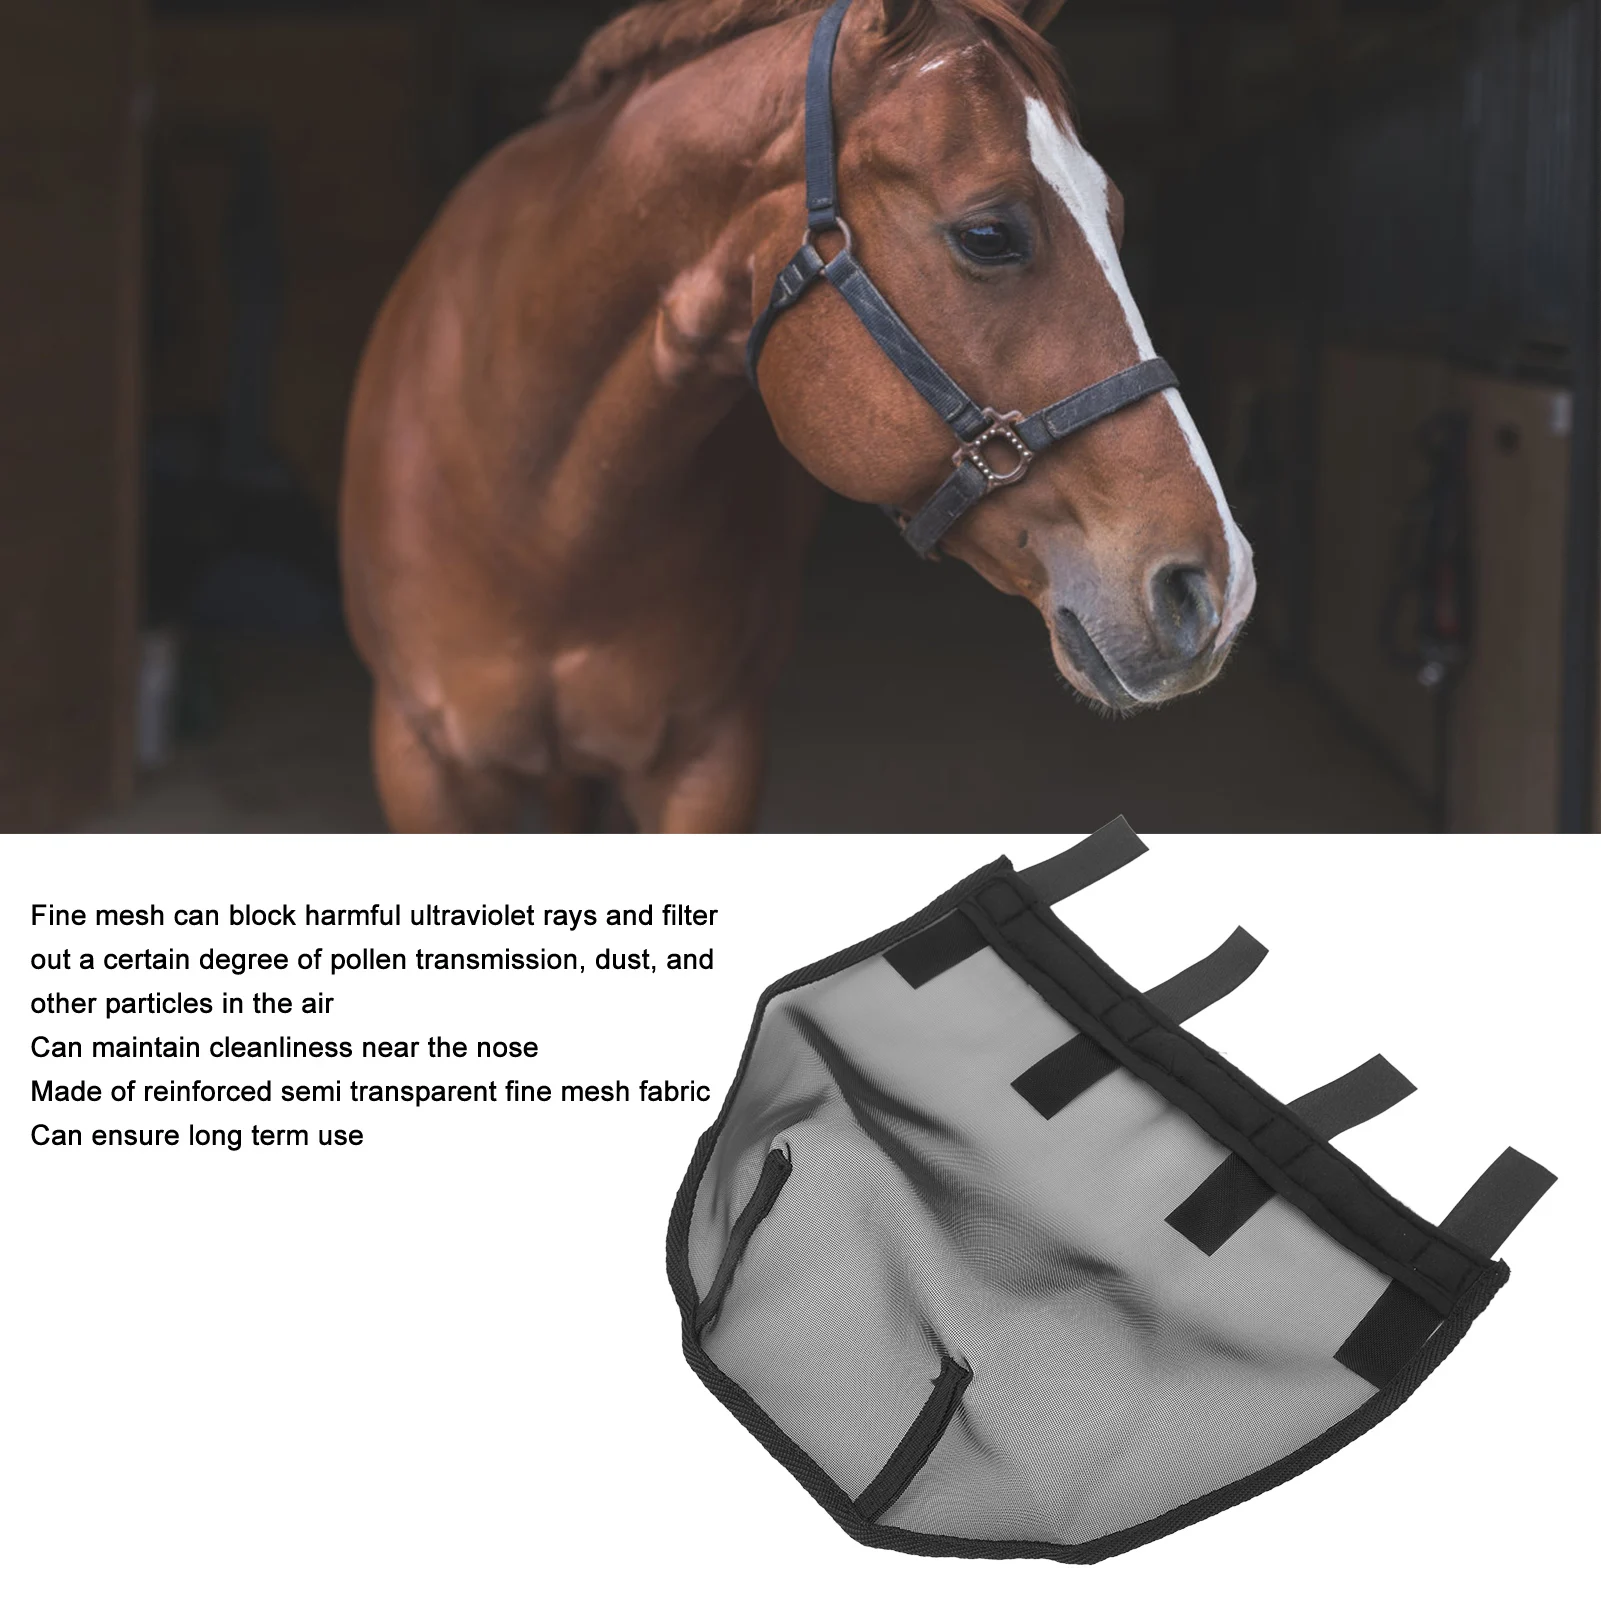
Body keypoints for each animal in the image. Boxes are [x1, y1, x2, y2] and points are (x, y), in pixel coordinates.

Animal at [339, 0, 1256, 832]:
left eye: (1116, 217)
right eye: (987, 234)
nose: (1217, 587)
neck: (544, 523)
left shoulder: (711, 763)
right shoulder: (424, 767)